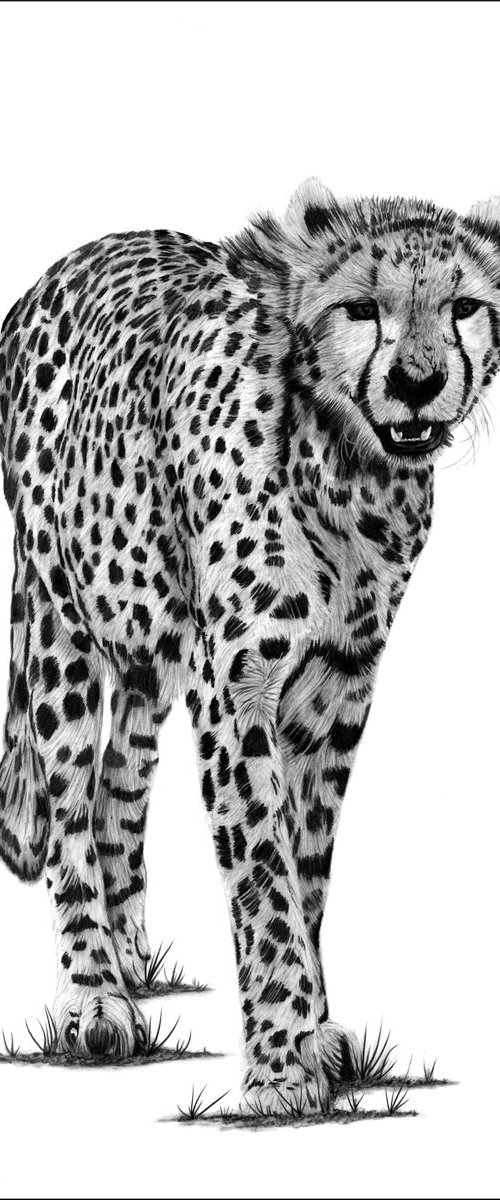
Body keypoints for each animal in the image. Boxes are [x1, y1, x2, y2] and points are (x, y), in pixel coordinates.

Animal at [0, 178, 497, 1112]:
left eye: (464, 308)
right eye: (361, 308)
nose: (419, 382)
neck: (347, 469)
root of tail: (62, 267)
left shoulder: (340, 683)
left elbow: (307, 864)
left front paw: (316, 1034)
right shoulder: (235, 678)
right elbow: (262, 866)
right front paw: (278, 1065)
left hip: (148, 642)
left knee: (120, 780)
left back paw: (133, 963)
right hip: (60, 625)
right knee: (70, 800)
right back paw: (96, 997)